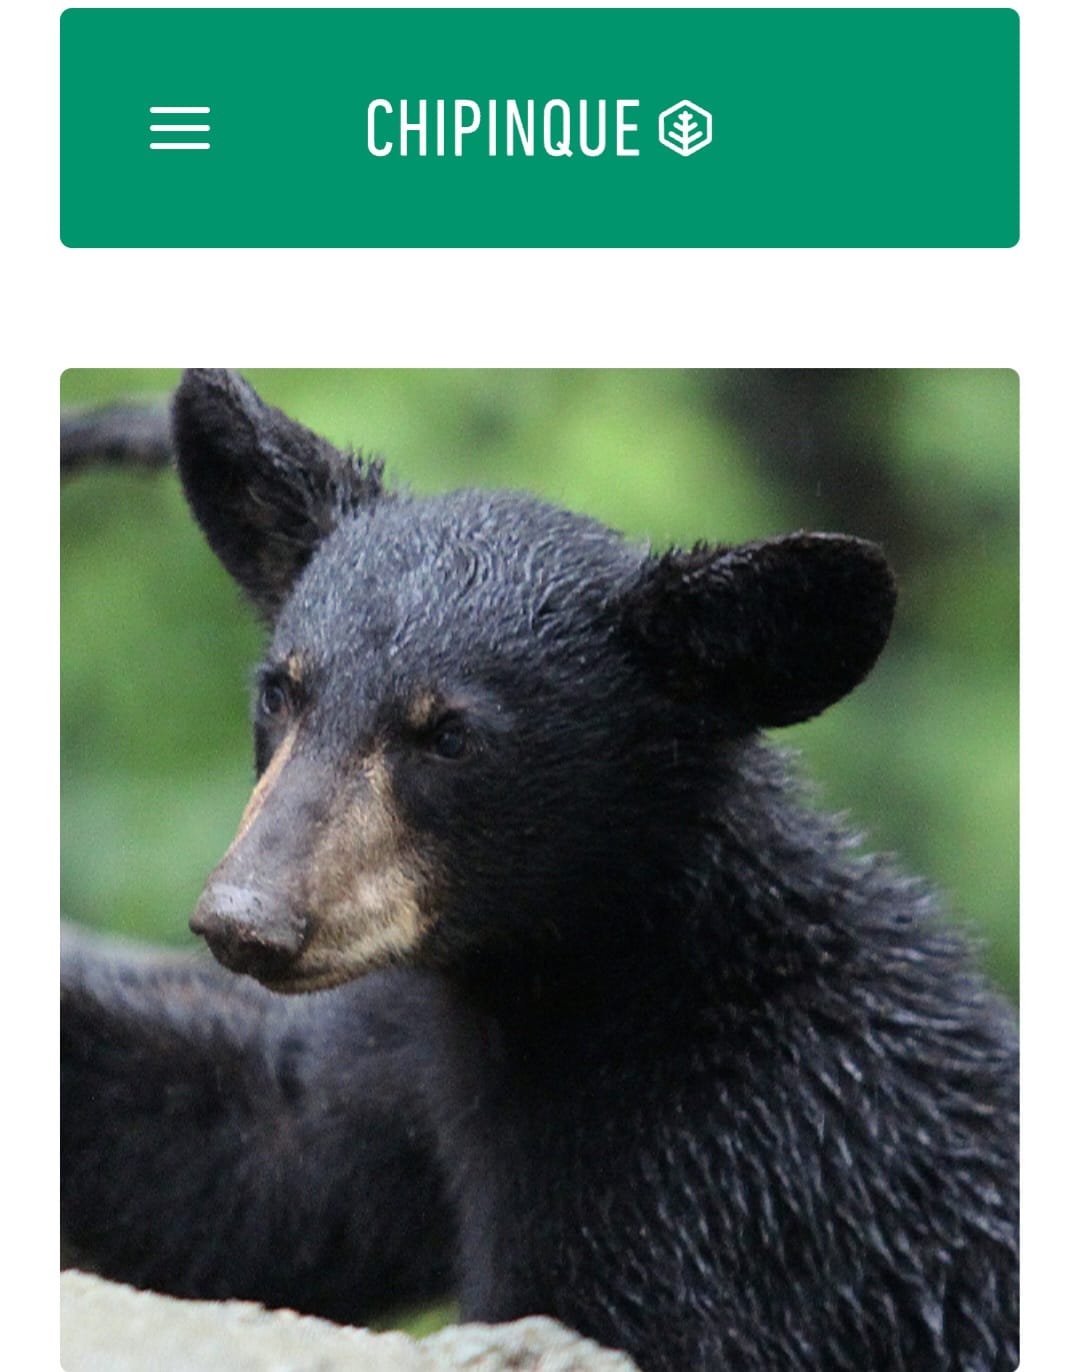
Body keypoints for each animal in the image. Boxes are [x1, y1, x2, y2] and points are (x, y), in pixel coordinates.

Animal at [61, 369, 1019, 1372]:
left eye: (449, 735)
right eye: (280, 690)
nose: (247, 918)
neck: (556, 983)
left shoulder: (735, 1199)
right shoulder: (411, 1057)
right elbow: (257, 1161)